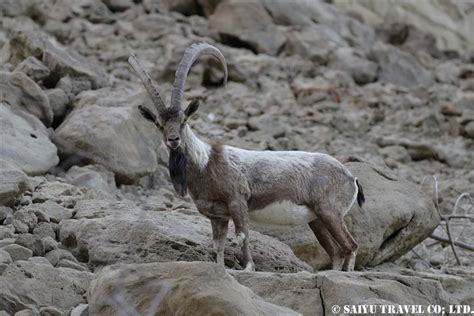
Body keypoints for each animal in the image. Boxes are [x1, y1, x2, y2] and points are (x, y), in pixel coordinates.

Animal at [128, 42, 364, 272]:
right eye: (159, 124)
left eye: (184, 120)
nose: (174, 140)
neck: (206, 162)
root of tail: (351, 178)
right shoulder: (218, 216)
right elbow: (218, 245)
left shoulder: (237, 202)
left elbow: (242, 235)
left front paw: (248, 267)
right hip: (317, 220)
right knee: (335, 251)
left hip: (330, 212)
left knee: (351, 246)